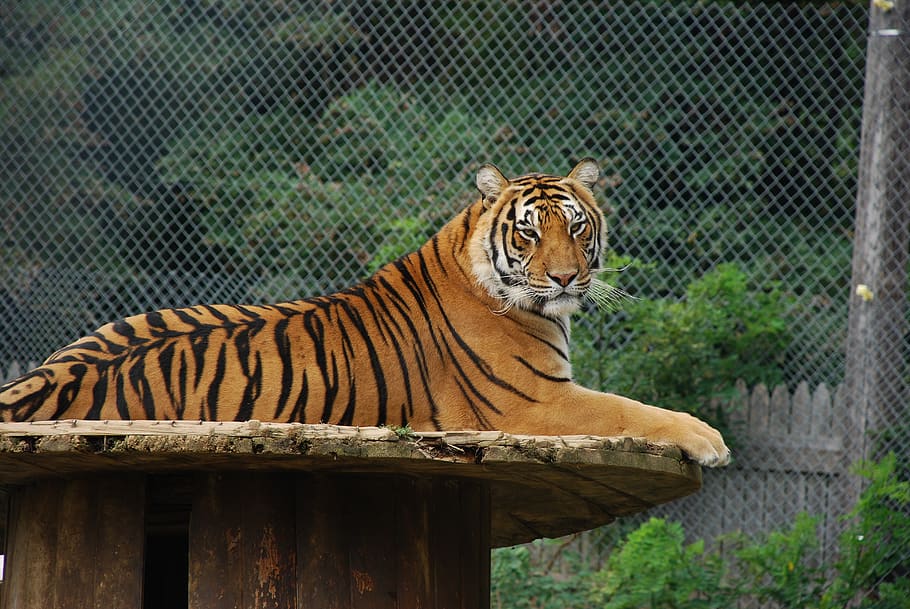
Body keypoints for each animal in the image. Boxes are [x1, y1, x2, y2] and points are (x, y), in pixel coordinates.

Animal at [0, 158, 729, 466]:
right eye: (528, 233)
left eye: (577, 227)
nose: (566, 276)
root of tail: (40, 380)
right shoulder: (534, 403)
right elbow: (633, 410)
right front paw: (711, 440)